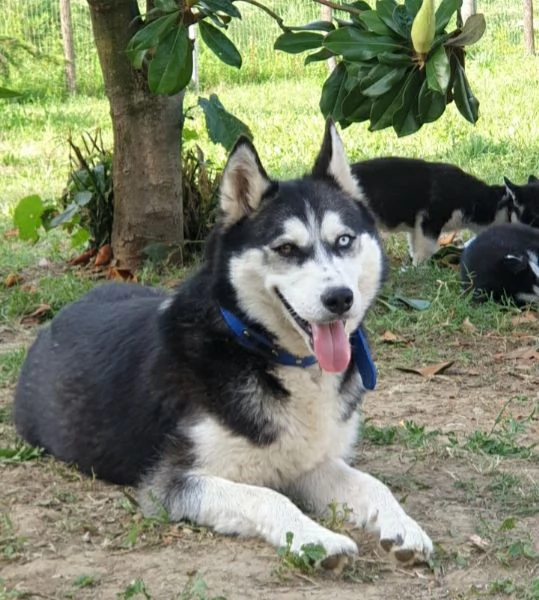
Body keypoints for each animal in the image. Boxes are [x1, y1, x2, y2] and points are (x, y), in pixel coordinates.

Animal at [12, 123, 434, 568]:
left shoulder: (306, 462)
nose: (340, 298)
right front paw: (319, 540)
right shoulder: (173, 484)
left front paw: (403, 526)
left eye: (344, 241)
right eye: (286, 248)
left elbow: (372, 484)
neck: (263, 351)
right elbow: (268, 498)